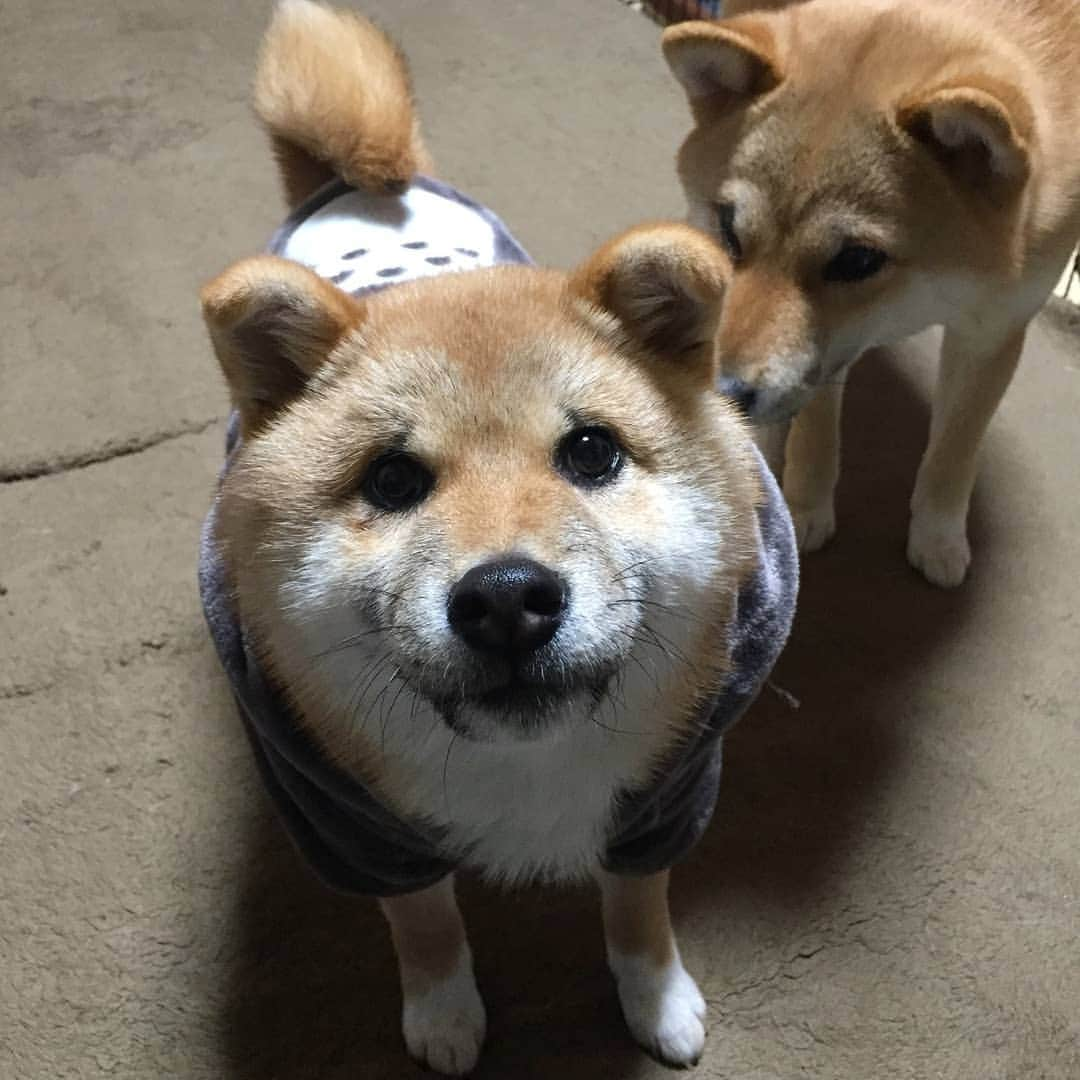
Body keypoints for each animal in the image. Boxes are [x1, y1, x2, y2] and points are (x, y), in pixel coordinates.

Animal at [198, 4, 799, 1075]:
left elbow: (638, 913)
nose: (508, 598)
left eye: (592, 452)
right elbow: (427, 925)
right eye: (391, 480)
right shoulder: (362, 834)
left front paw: (656, 997)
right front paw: (443, 1013)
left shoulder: (662, 803)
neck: (526, 772)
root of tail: (369, 182)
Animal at [660, 0, 1080, 583]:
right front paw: (807, 506)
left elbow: (955, 448)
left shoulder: (994, 329)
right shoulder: (827, 353)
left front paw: (938, 533)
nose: (724, 390)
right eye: (728, 226)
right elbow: (818, 427)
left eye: (857, 260)